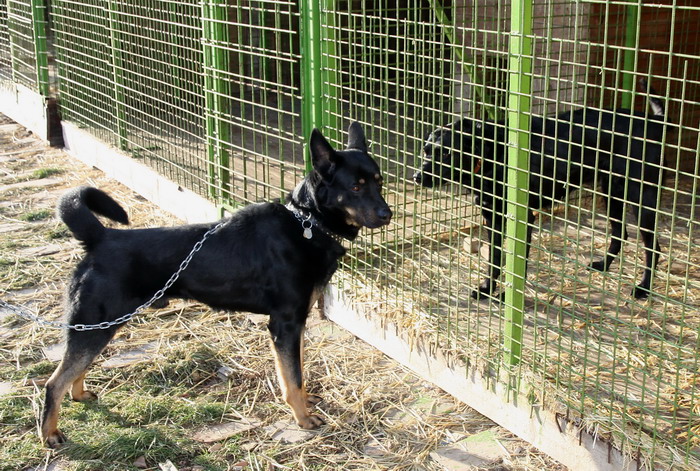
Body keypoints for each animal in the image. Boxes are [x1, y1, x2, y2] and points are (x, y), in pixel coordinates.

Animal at [41, 121, 392, 446]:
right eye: (356, 187)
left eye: (379, 181)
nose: (387, 214)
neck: (307, 222)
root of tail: (101, 237)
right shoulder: (285, 324)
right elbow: (292, 378)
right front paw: (303, 418)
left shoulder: (295, 325)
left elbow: (296, 371)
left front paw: (305, 402)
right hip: (95, 324)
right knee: (54, 382)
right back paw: (51, 433)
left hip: (99, 326)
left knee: (75, 371)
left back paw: (80, 395)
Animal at [416, 80, 668, 302]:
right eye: (425, 150)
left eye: (447, 153)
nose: (416, 177)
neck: (490, 153)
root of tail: (655, 122)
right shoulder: (492, 217)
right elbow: (494, 259)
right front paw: (487, 288)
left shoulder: (522, 219)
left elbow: (516, 264)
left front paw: (507, 297)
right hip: (611, 192)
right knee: (620, 232)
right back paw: (603, 265)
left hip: (641, 198)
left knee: (653, 247)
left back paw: (643, 288)